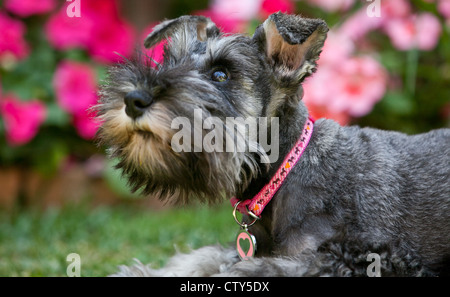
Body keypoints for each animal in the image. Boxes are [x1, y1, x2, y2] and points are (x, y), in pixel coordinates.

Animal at [96, 11, 450, 276]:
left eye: (220, 74)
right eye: (168, 60)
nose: (133, 99)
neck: (287, 171)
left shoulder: (356, 259)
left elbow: (244, 270)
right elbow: (207, 255)